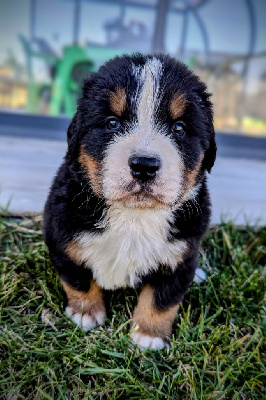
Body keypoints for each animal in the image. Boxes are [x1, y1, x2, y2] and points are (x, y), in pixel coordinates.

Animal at [44, 54, 216, 350]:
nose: (144, 165)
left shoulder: (181, 254)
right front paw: (85, 313)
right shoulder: (62, 237)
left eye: (179, 129)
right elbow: (78, 279)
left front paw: (148, 335)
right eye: (113, 123)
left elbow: (162, 298)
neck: (134, 216)